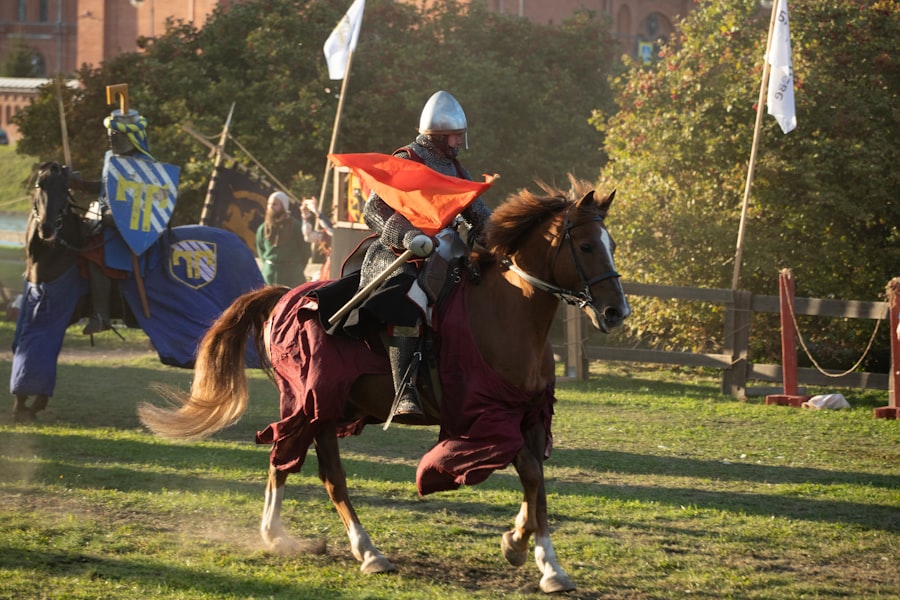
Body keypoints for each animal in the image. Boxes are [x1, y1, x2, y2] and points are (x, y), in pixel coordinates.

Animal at [137, 178, 631, 594]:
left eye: (610, 244)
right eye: (587, 245)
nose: (616, 313)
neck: (506, 312)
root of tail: (283, 297)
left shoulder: (529, 416)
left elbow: (538, 483)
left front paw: (535, 552)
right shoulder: (484, 418)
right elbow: (529, 472)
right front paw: (530, 553)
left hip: (324, 408)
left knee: (291, 462)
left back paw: (283, 536)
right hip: (313, 402)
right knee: (317, 470)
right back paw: (360, 550)